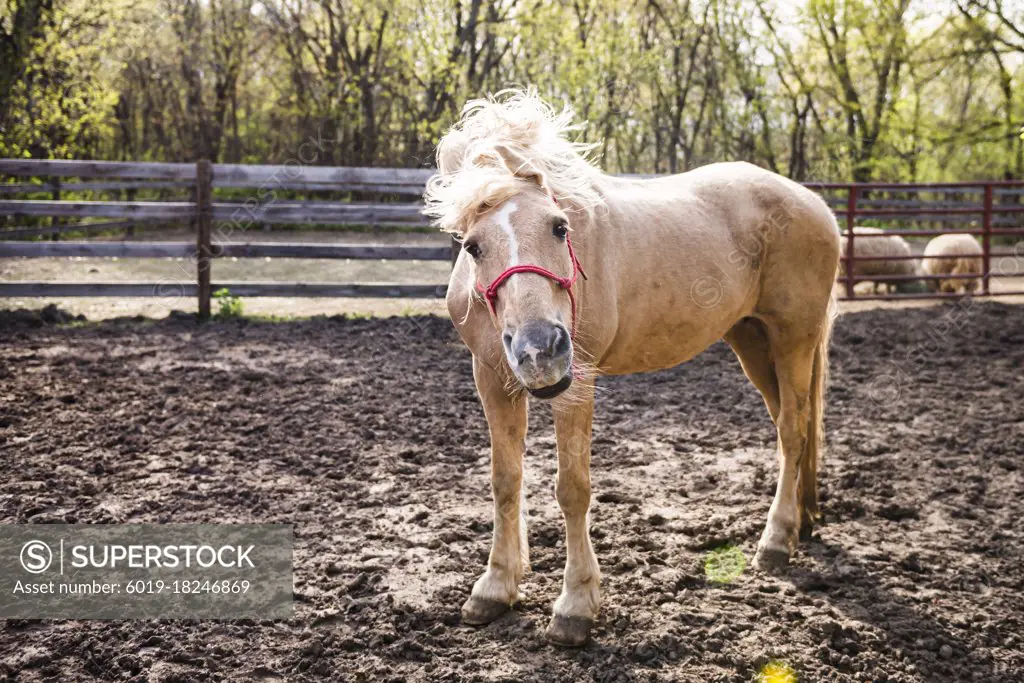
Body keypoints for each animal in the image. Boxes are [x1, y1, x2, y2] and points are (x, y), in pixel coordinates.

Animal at [423, 89, 839, 647]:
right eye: (473, 246)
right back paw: (804, 521)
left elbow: (572, 489)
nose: (541, 350)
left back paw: (775, 542)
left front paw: (575, 605)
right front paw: (495, 587)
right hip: (752, 342)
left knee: (794, 432)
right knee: (794, 427)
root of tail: (814, 204)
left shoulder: (576, 384)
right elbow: (505, 480)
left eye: (559, 227)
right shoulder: (491, 377)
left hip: (793, 338)